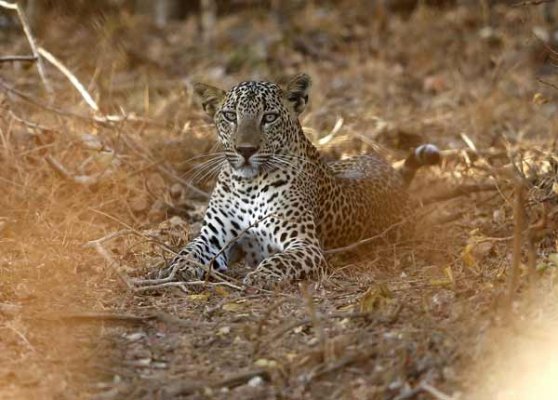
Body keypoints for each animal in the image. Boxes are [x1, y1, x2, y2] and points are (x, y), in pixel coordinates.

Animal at [162, 73, 442, 286]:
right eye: (230, 116)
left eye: (269, 117)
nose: (245, 150)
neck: (248, 186)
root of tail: (390, 171)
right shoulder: (213, 238)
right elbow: (190, 249)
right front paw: (180, 266)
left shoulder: (305, 245)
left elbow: (279, 260)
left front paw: (261, 276)